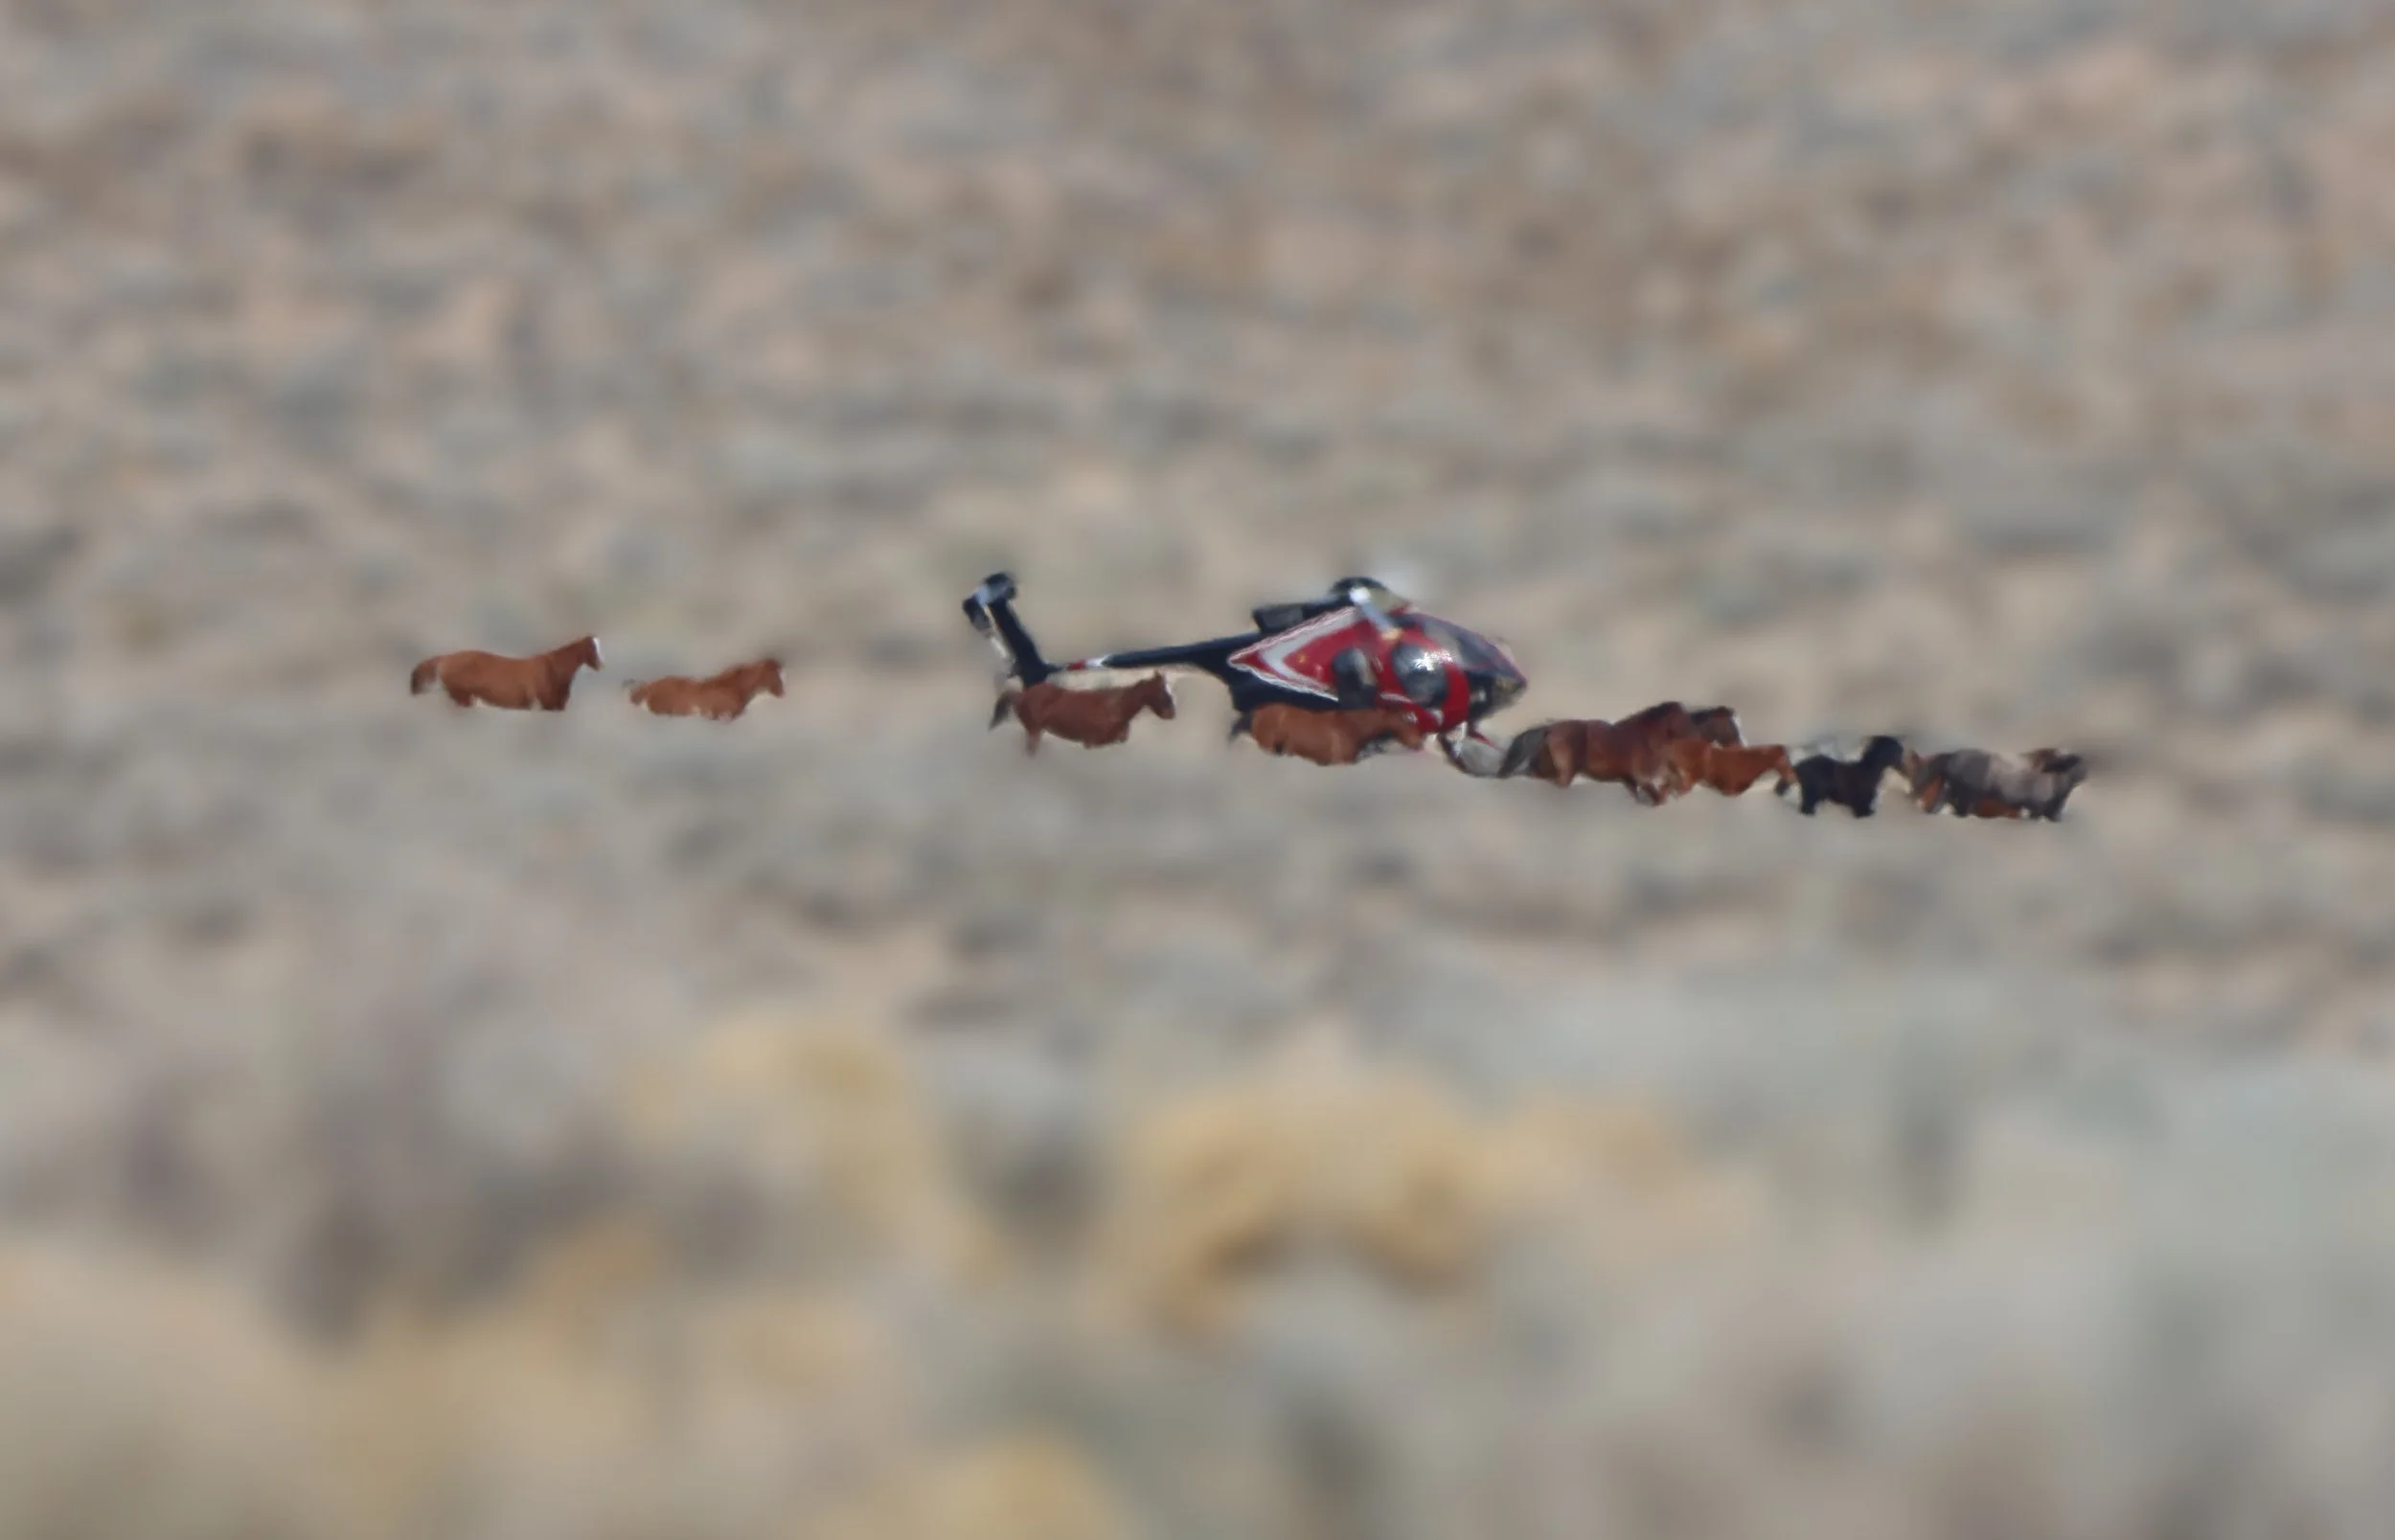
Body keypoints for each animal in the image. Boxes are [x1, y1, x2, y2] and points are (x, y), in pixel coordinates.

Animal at [409, 635, 602, 710]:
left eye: (599, 646)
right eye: (592, 648)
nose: (601, 665)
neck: (552, 670)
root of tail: (445, 658)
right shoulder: (542, 705)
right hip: (463, 696)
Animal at [990, 672, 1175, 754]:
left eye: (1169, 691)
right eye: (1163, 693)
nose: (1172, 714)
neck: (1115, 707)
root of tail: (1022, 695)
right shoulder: (1091, 743)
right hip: (1034, 730)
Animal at [1229, 703, 1426, 766]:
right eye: (1407, 720)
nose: (1418, 744)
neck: (1351, 726)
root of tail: (1257, 712)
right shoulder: (1341, 762)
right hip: (1267, 746)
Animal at [1778, 734, 1910, 817]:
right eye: (1898, 749)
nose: (1904, 750)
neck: (1870, 767)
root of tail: (1799, 765)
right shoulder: (1862, 796)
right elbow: (1862, 807)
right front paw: (1866, 813)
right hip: (1813, 788)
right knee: (1806, 805)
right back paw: (1811, 812)